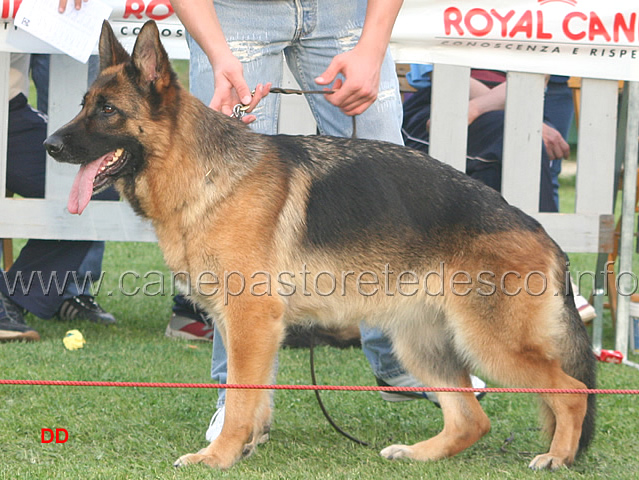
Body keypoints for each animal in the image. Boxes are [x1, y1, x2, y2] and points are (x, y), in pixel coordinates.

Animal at [43, 20, 596, 470]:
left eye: (108, 111)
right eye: (83, 106)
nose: (50, 145)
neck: (201, 172)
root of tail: (542, 233)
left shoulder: (251, 320)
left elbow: (242, 396)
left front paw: (217, 456)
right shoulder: (248, 327)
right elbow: (252, 395)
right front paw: (243, 445)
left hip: (488, 343)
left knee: (572, 392)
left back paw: (557, 457)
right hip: (422, 343)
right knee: (471, 419)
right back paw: (420, 453)